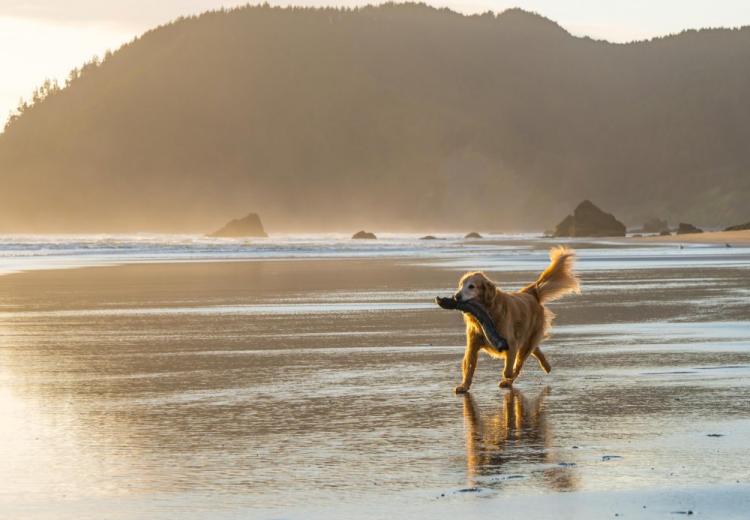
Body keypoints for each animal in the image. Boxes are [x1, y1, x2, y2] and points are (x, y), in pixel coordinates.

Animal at [452, 246, 580, 392]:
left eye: (471, 286)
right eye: (460, 285)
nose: (456, 296)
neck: (487, 314)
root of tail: (530, 293)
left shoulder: (511, 344)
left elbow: (509, 369)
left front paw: (508, 376)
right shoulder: (472, 345)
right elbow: (469, 367)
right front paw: (464, 385)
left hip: (526, 339)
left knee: (521, 361)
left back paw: (511, 380)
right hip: (527, 340)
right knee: (535, 350)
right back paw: (546, 366)